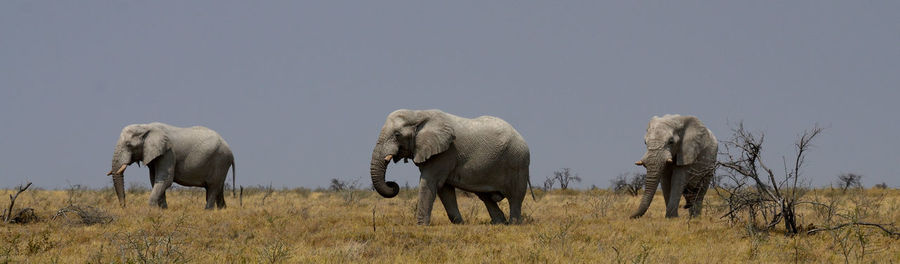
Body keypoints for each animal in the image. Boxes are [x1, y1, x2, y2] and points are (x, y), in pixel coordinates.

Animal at [106, 122, 236, 210]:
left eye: (129, 145)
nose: (124, 206)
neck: (146, 127)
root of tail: (231, 151)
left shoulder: (168, 152)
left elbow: (165, 180)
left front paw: (151, 210)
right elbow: (154, 180)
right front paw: (163, 210)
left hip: (220, 160)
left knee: (213, 187)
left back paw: (207, 211)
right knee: (218, 188)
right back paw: (222, 210)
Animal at [370, 109, 532, 225]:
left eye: (397, 134)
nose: (392, 183)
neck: (418, 114)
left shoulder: (445, 153)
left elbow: (429, 182)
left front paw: (421, 226)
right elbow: (444, 189)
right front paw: (460, 224)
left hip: (517, 162)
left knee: (515, 196)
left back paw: (513, 224)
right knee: (485, 197)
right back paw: (498, 223)